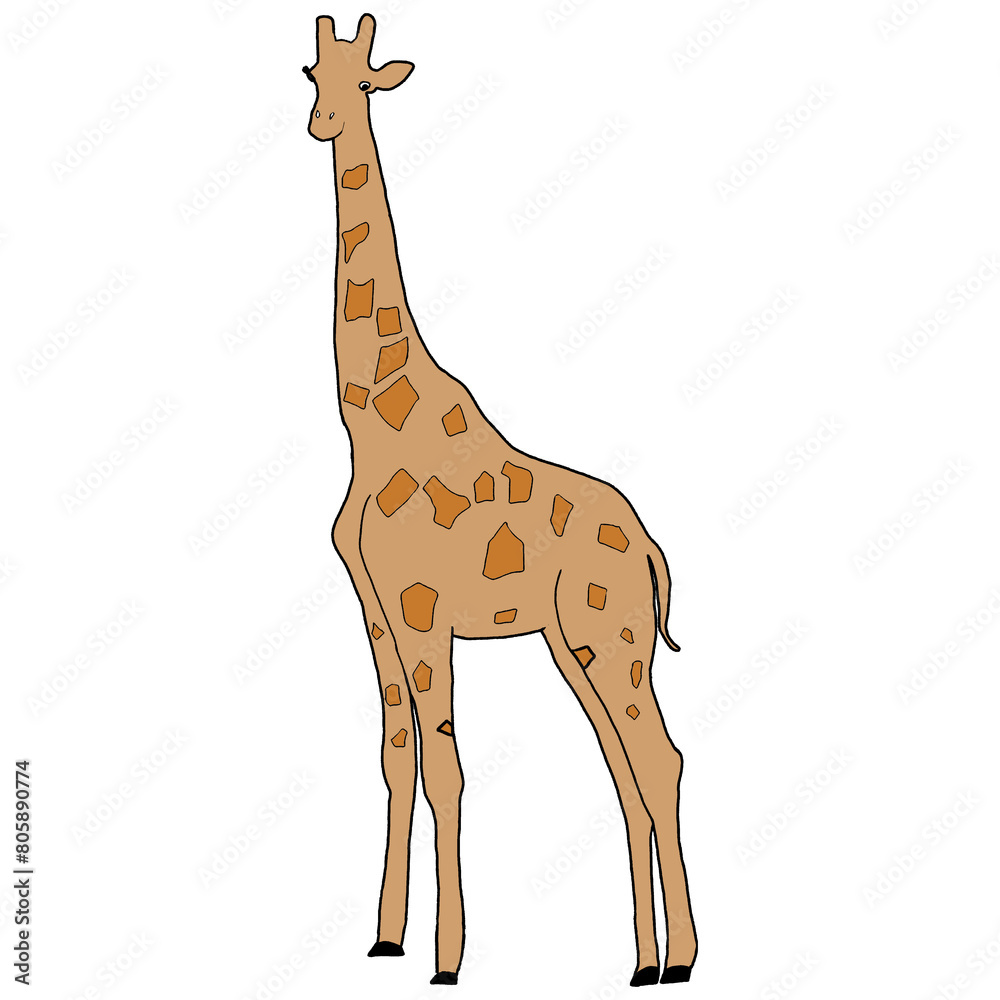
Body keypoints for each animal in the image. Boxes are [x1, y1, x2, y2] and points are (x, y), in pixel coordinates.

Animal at [302, 14, 697, 987]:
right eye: (309, 71)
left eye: (365, 80)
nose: (319, 124)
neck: (369, 424)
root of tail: (651, 548)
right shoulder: (374, 611)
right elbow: (395, 760)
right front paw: (386, 938)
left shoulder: (422, 608)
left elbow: (445, 766)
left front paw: (447, 961)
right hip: (575, 643)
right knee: (624, 772)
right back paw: (642, 963)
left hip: (611, 638)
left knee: (660, 760)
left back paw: (683, 961)